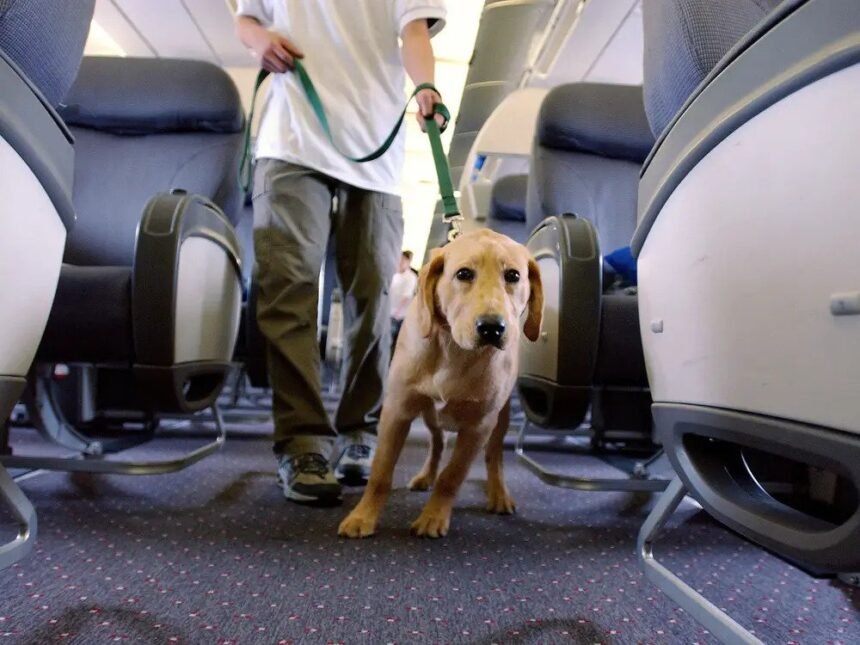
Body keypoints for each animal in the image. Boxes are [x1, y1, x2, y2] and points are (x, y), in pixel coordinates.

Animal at [340, 228, 540, 540]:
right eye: (464, 274)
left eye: (513, 276)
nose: (492, 328)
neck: (454, 350)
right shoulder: (397, 411)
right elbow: (381, 472)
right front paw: (363, 516)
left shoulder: (479, 427)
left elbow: (452, 476)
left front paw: (433, 516)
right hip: (429, 414)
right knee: (438, 442)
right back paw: (426, 476)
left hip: (501, 418)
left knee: (493, 457)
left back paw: (498, 493)